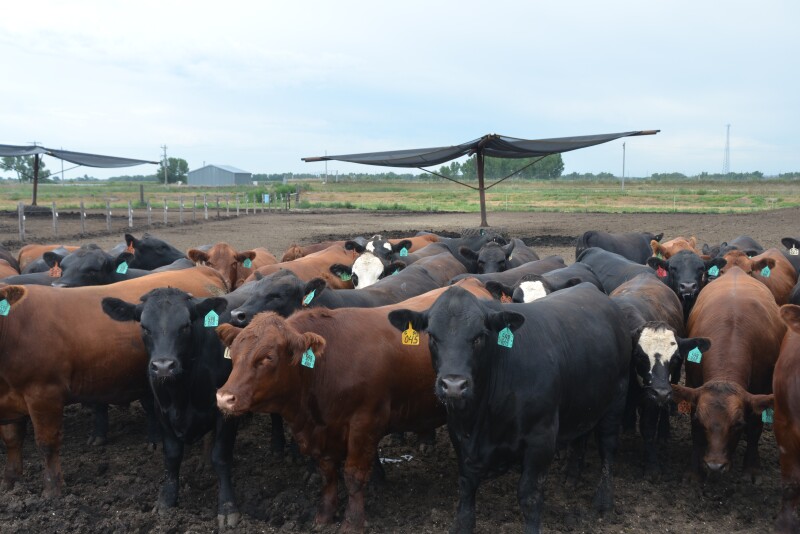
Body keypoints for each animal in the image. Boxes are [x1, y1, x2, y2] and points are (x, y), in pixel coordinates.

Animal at [0, 266, 228, 498]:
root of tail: (202, 269)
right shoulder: (7, 400)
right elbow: (11, 440)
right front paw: (10, 481)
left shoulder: (45, 394)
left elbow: (47, 444)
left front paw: (52, 489)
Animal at [102, 288, 240, 528]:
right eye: (144, 326)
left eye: (185, 325)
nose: (163, 366)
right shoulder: (163, 412)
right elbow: (172, 456)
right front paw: (166, 500)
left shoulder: (226, 413)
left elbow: (221, 457)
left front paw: (227, 506)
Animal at [215, 279, 493, 533]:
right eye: (234, 354)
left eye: (268, 357)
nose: (224, 397)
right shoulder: (323, 432)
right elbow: (327, 474)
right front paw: (324, 516)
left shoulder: (364, 423)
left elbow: (354, 475)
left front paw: (352, 522)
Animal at [387, 283, 631, 533]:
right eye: (433, 337)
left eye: (479, 337)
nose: (453, 385)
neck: (481, 417)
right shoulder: (458, 433)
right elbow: (466, 486)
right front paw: (462, 525)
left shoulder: (541, 437)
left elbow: (529, 495)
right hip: (585, 401)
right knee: (581, 436)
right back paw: (571, 476)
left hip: (617, 399)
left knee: (607, 449)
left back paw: (604, 502)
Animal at [672, 267, 781, 482]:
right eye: (701, 420)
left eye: (737, 424)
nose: (715, 466)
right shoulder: (693, 383)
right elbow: (695, 432)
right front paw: (694, 471)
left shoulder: (762, 389)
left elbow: (755, 426)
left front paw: (751, 469)